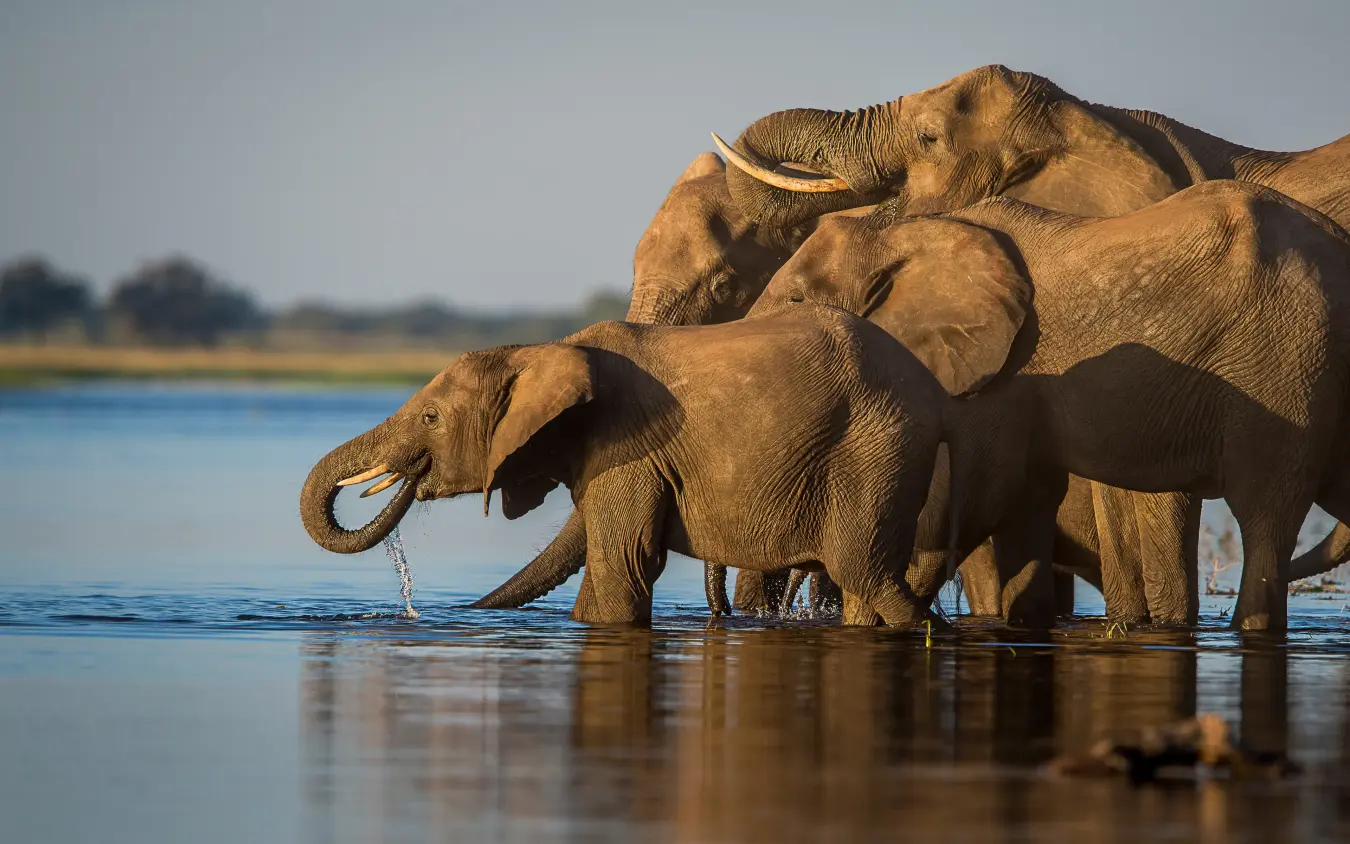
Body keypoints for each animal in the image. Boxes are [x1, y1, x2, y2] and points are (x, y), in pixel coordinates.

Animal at [301, 305, 952, 627]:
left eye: (431, 417)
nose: (412, 613)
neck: (545, 350)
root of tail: (937, 393)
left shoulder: (630, 446)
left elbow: (624, 561)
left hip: (874, 448)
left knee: (864, 571)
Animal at [747, 179, 1350, 631]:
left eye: (797, 298)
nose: (787, 610)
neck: (907, 231)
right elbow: (1024, 501)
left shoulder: (1005, 371)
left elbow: (972, 495)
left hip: (1287, 365)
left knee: (1265, 517)